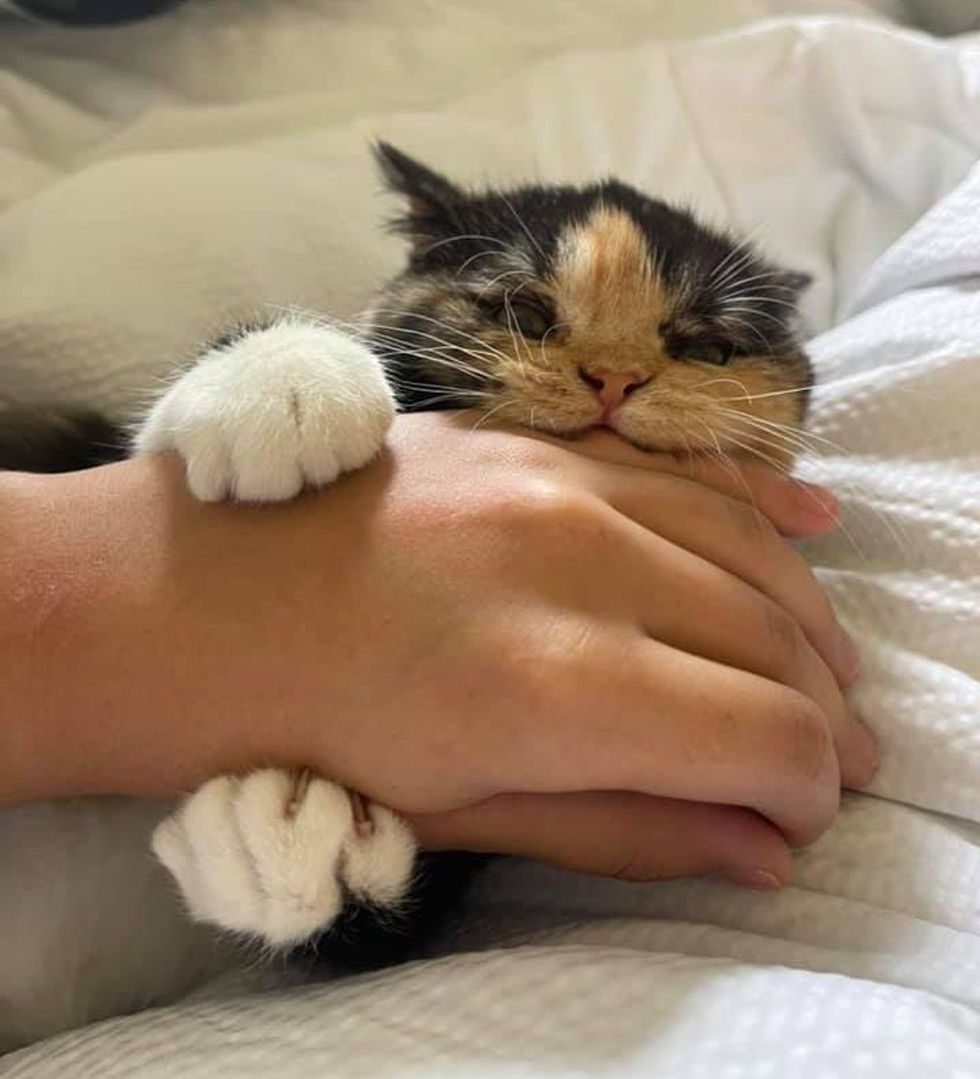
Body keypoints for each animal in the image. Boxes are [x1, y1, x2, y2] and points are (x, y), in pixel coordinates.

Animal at [0, 143, 811, 1044]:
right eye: (524, 310)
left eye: (709, 347)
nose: (615, 378)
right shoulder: (101, 459)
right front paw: (285, 380)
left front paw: (290, 847)